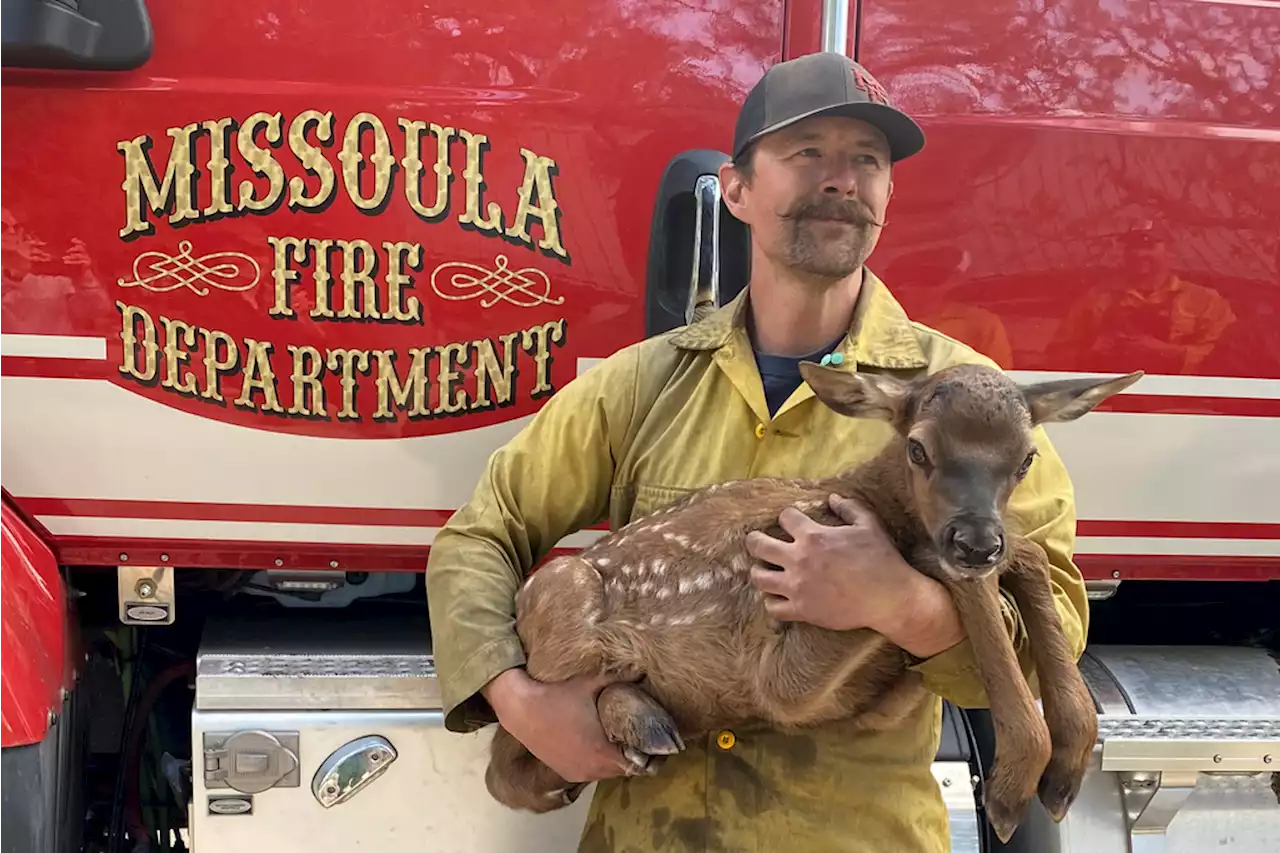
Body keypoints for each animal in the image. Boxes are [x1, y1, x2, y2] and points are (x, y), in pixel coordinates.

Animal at [481, 356, 1141, 835]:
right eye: (918, 447)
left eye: (1026, 459)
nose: (977, 541)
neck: (859, 497)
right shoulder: (780, 674)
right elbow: (946, 568)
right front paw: (1014, 787)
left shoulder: (875, 697)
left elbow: (1028, 556)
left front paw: (1064, 769)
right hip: (563, 605)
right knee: (505, 758)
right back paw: (636, 725)